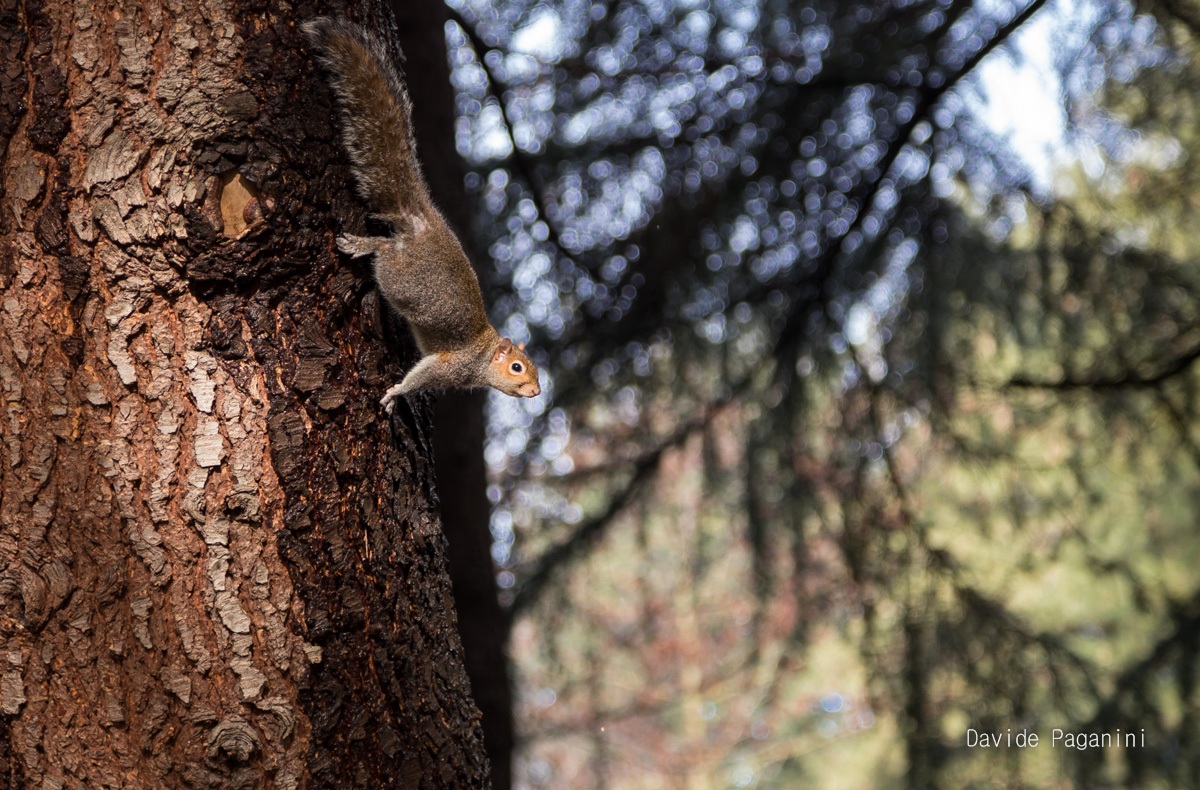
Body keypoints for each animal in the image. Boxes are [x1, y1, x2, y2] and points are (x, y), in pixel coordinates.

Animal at [302, 18, 540, 413]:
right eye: (517, 367)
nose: (537, 392)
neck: (483, 354)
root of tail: (423, 221)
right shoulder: (451, 366)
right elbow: (422, 376)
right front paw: (397, 394)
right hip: (402, 281)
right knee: (385, 251)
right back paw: (361, 246)